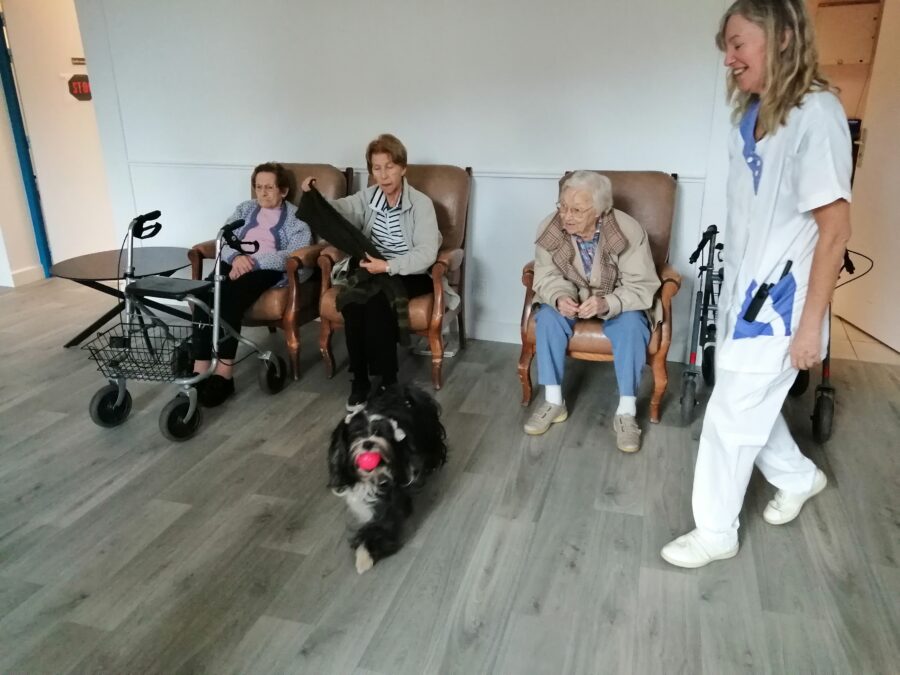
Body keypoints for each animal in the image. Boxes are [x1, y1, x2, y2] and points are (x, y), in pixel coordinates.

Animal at [328, 383, 447, 574]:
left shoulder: (393, 493)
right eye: (357, 434)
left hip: (430, 437)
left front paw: (364, 557)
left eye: (378, 433)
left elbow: (382, 524)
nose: (368, 443)